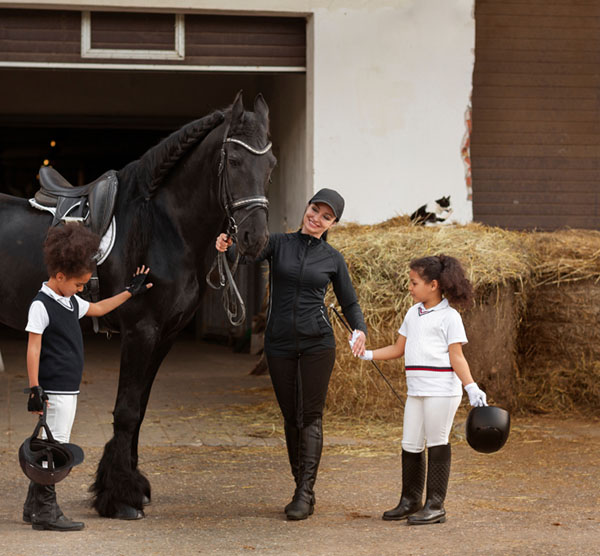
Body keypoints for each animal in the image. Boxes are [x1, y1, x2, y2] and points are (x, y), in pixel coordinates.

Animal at [0, 91, 276, 519]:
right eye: (233, 161)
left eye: (271, 164)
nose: (254, 238)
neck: (162, 226)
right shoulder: (140, 330)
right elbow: (127, 409)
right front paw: (121, 498)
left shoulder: (164, 335)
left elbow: (140, 409)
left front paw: (128, 487)